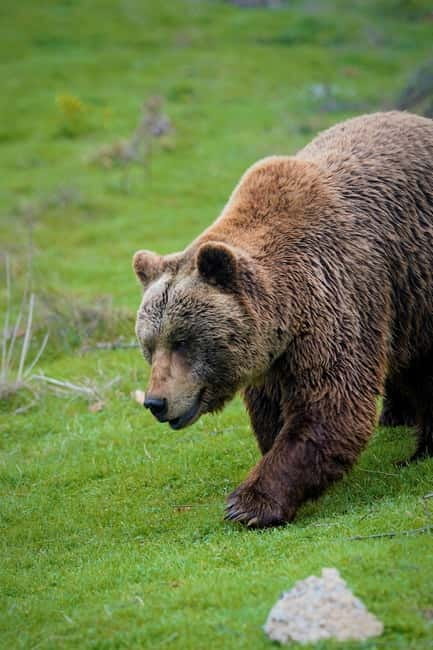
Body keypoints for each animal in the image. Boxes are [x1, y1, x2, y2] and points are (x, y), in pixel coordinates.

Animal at [132, 111, 433, 528]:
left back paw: (419, 450)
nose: (156, 402)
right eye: (148, 345)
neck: (288, 311)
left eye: (182, 341)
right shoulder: (271, 354)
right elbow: (271, 412)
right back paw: (397, 415)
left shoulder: (337, 298)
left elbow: (329, 403)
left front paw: (249, 504)